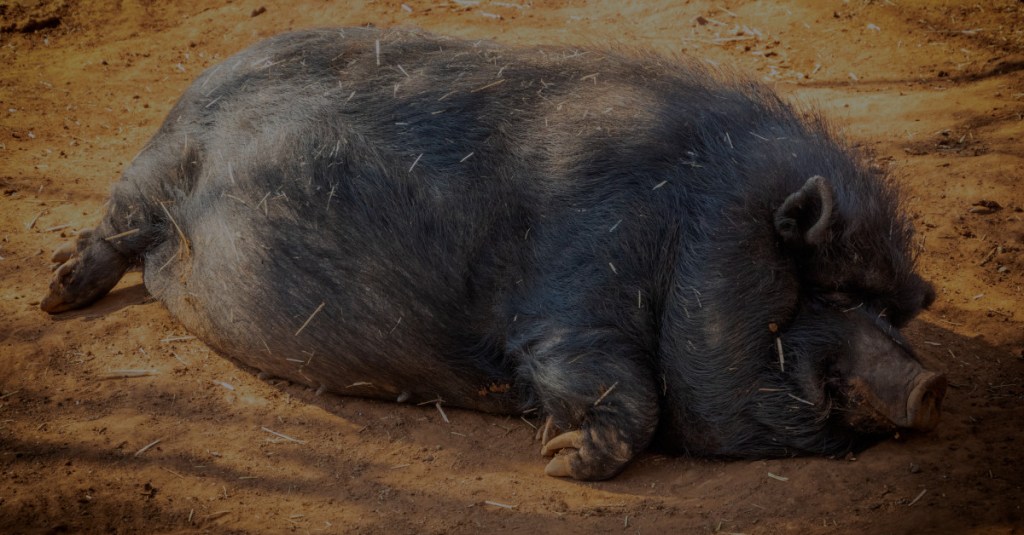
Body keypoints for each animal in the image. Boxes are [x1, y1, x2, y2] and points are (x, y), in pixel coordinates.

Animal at [41, 27, 946, 480]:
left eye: (894, 307)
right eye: (833, 290)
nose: (932, 383)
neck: (689, 231)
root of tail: (194, 84)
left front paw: (555, 452)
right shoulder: (570, 301)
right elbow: (627, 391)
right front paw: (557, 461)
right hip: (153, 169)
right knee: (114, 226)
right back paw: (52, 297)